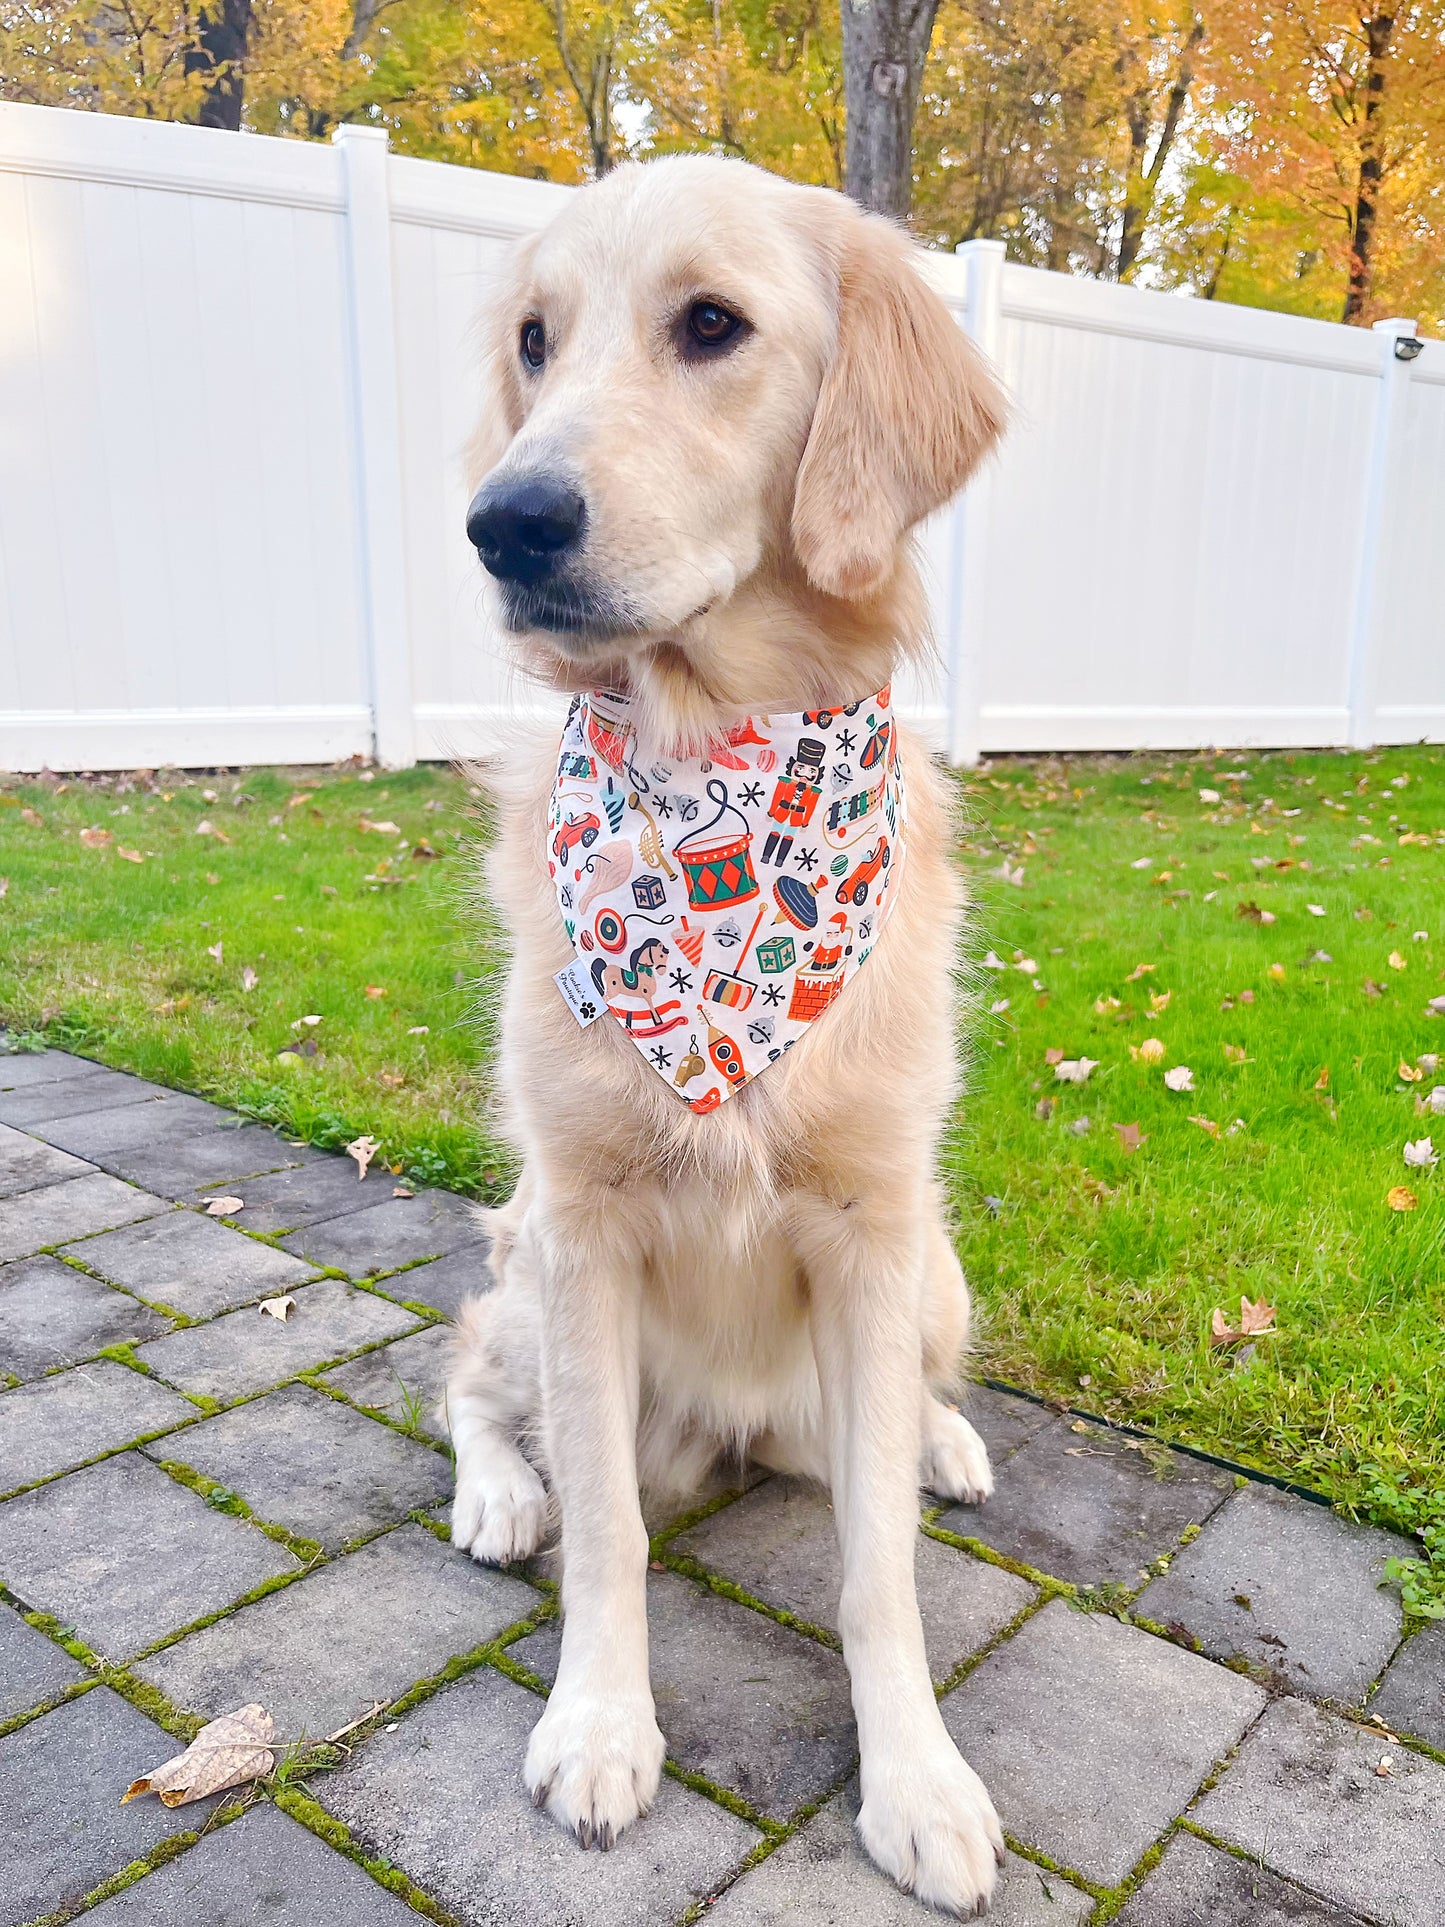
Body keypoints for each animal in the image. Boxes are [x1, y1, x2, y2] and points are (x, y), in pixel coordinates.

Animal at [450, 154, 1009, 1911]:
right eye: (536, 340)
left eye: (711, 325)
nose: (503, 521)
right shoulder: (584, 1224)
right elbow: (612, 1533)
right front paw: (599, 1725)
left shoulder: (873, 1224)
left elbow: (879, 1567)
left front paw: (917, 1778)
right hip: (526, 1270)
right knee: (470, 1379)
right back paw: (499, 1491)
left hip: (937, 1274)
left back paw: (945, 1440)